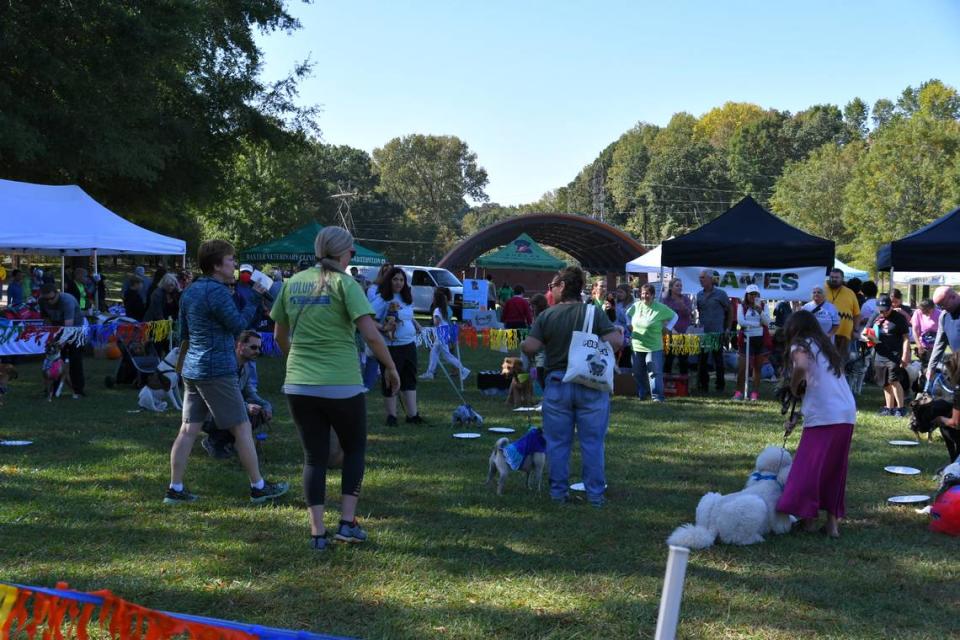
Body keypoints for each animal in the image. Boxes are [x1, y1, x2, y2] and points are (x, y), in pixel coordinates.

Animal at [668, 444, 796, 552]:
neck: (769, 477)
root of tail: (713, 526)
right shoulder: (776, 510)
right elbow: (781, 523)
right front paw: (786, 528)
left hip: (709, 499)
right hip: (755, 505)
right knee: (735, 539)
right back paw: (756, 538)